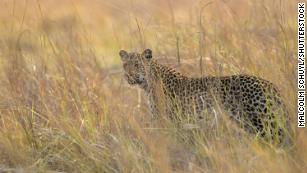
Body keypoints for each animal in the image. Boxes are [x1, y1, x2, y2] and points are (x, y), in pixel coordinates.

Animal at [119, 48, 294, 146]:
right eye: (125, 65)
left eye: (137, 65)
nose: (128, 76)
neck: (147, 83)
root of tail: (271, 85)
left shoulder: (164, 121)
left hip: (264, 123)